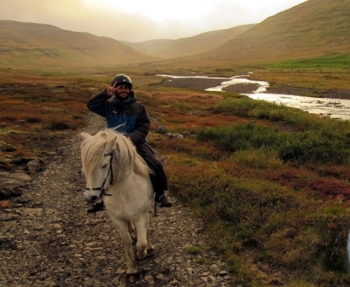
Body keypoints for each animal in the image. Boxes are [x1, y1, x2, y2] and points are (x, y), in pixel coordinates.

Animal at [81, 129, 155, 276]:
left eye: (104, 165)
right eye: (85, 167)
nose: (90, 197)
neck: (122, 192)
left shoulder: (141, 216)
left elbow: (141, 243)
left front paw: (142, 254)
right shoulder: (117, 219)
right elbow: (126, 242)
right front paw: (131, 269)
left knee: (147, 229)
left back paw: (149, 247)